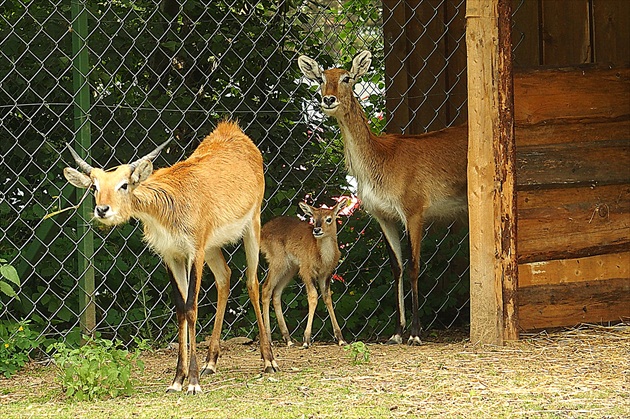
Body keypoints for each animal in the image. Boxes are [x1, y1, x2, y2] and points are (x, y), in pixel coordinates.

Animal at [63, 120, 278, 394]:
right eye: (94, 186)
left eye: (124, 184)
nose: (102, 210)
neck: (169, 207)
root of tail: (231, 128)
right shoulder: (171, 255)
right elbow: (180, 309)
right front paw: (178, 379)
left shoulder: (194, 252)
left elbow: (192, 308)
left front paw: (193, 383)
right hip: (212, 247)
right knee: (224, 278)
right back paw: (210, 362)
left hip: (252, 226)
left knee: (252, 283)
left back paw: (269, 361)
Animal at [262, 199, 350, 350]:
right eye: (313, 219)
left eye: (329, 218)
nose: (317, 230)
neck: (323, 258)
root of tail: (262, 231)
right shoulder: (306, 270)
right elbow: (313, 296)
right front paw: (306, 340)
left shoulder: (326, 274)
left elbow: (327, 297)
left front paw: (340, 339)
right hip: (278, 261)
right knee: (266, 288)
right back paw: (269, 339)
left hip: (290, 268)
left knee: (276, 292)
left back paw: (288, 339)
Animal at [300, 51, 470, 348]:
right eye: (321, 78)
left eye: (347, 78)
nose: (328, 100)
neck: (381, 163)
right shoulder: (383, 216)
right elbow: (396, 267)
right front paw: (396, 333)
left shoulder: (414, 210)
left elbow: (413, 266)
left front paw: (415, 333)